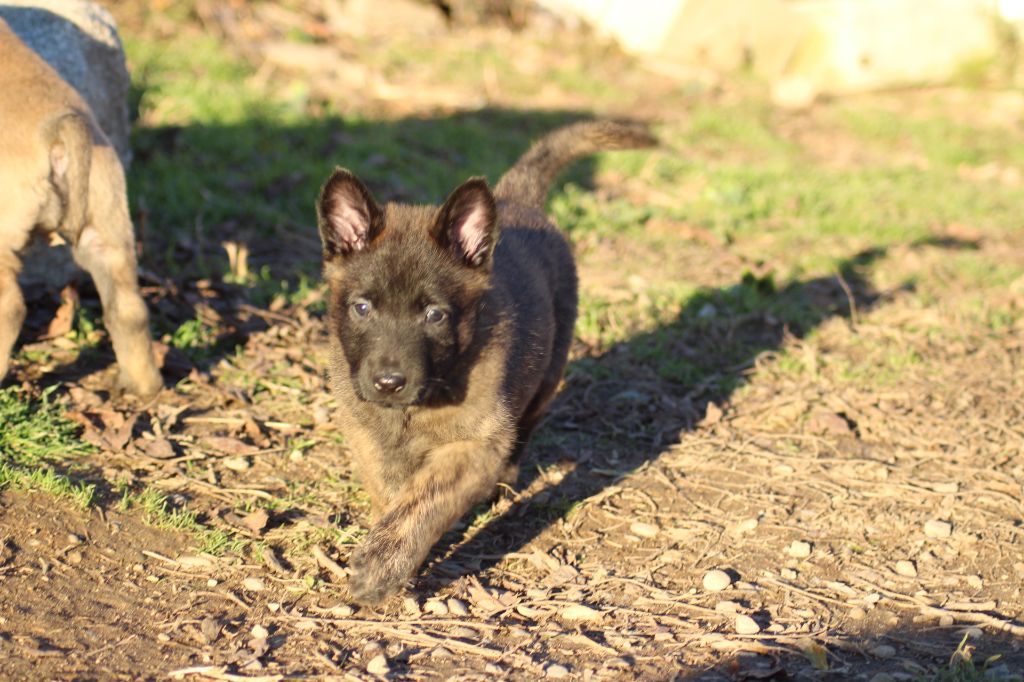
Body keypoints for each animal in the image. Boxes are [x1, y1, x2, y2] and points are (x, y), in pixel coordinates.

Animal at [315, 120, 659, 602]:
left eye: (435, 315)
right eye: (362, 308)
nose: (388, 382)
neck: (415, 408)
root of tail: (515, 199)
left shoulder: (478, 445)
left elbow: (426, 497)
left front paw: (383, 564)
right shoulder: (364, 432)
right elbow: (393, 493)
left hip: (547, 375)